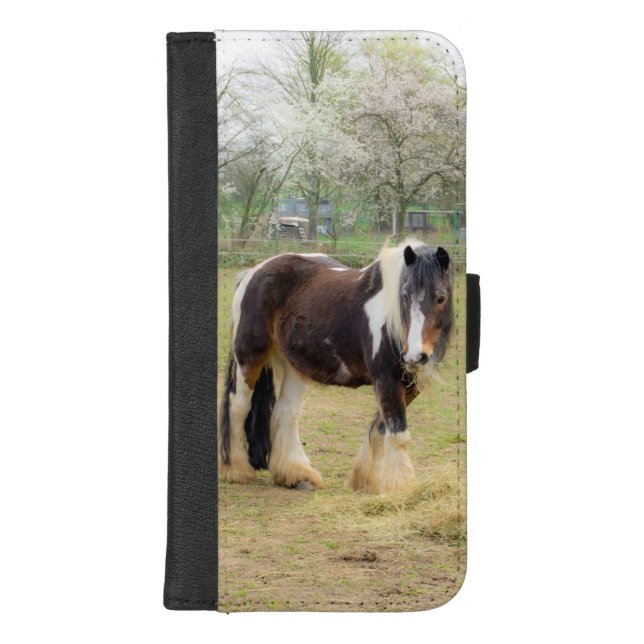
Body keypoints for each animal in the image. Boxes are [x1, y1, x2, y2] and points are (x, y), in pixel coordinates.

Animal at [219, 239, 454, 494]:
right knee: (238, 405)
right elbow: (398, 435)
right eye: (404, 296)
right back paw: (237, 470)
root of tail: (252, 273)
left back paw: (296, 475)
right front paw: (403, 489)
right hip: (250, 356)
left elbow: (380, 428)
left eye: (441, 298)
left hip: (296, 366)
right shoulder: (387, 380)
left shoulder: (408, 385)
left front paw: (366, 480)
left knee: (286, 411)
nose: (414, 356)